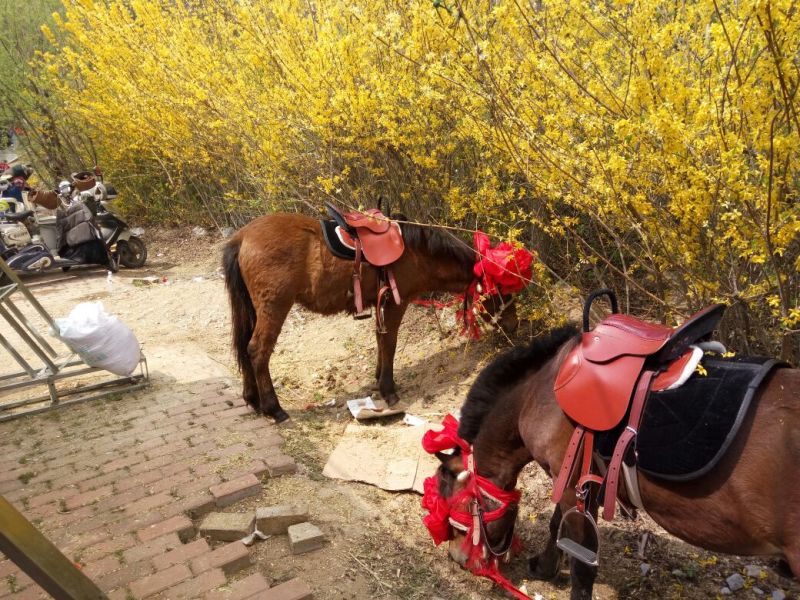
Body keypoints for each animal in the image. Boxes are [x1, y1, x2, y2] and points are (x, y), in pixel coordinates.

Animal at [222, 212, 520, 422]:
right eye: (503, 290)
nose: (514, 326)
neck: (417, 252)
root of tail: (242, 238)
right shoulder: (397, 303)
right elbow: (390, 342)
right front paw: (388, 389)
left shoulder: (382, 303)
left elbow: (380, 340)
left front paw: (379, 378)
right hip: (274, 307)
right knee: (258, 350)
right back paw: (274, 408)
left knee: (245, 348)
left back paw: (253, 399)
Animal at [428, 324, 800, 600]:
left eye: (452, 501)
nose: (456, 558)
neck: (540, 392)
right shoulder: (578, 480)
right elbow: (556, 525)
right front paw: (545, 567)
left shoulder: (569, 481)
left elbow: (580, 561)